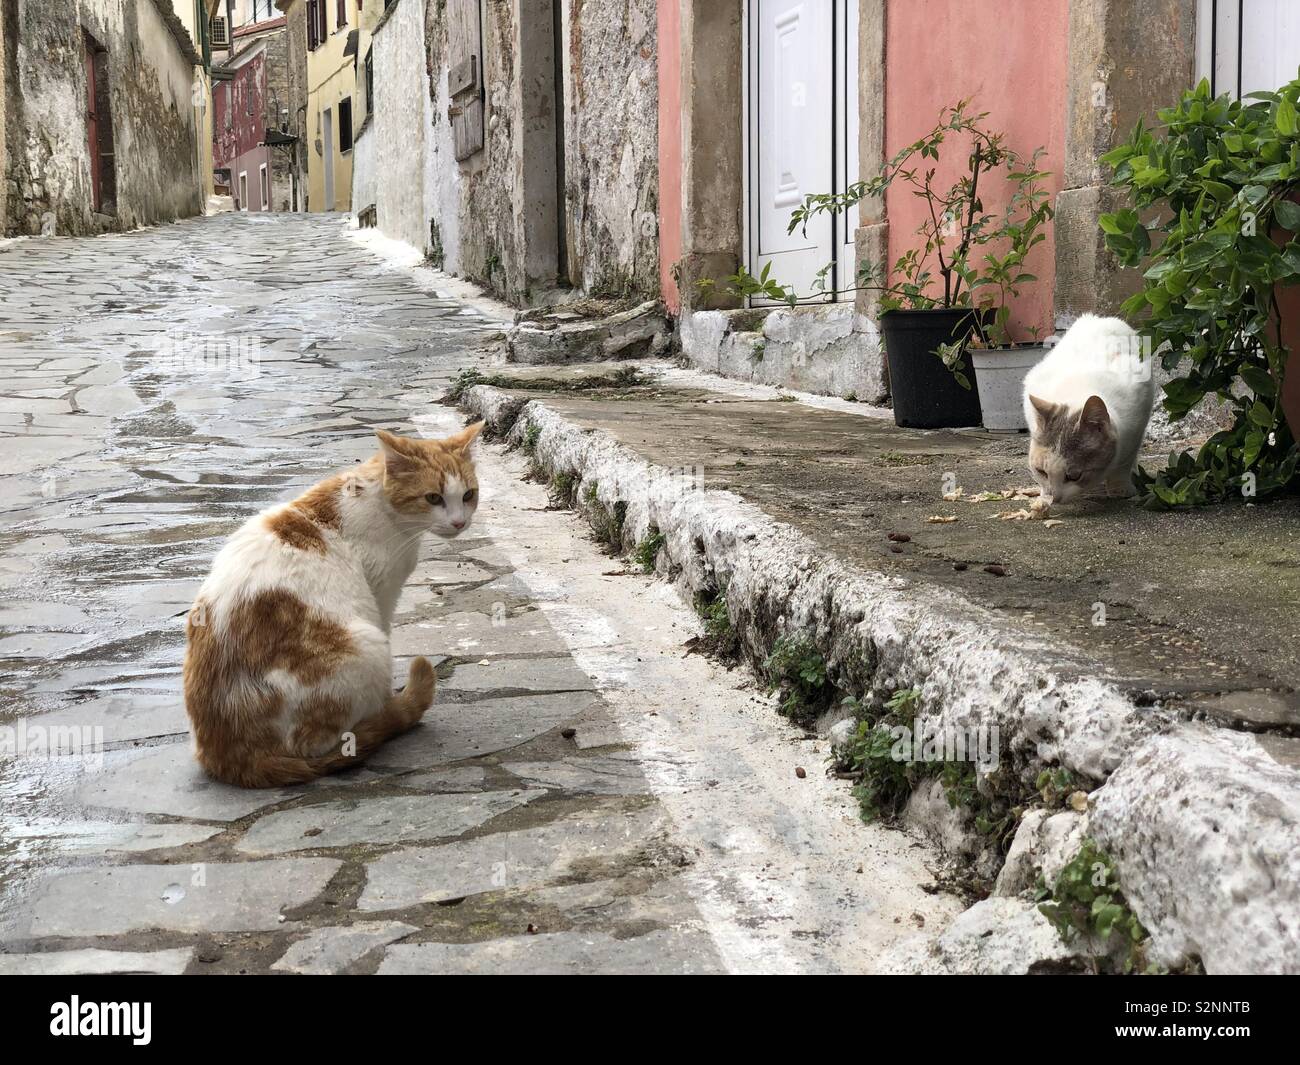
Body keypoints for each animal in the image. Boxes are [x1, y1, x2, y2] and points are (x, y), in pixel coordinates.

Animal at [183, 421, 483, 785]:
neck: (380, 501)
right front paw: (390, 702)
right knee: (320, 743)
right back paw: (378, 718)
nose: (459, 522)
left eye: (468, 495)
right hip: (366, 645)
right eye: (433, 498)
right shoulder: (381, 593)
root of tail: (231, 757)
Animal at [1019, 314, 1154, 507]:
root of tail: (1098, 318)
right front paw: (1043, 495)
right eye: (1042, 472)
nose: (1054, 498)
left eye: (1074, 476)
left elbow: (1124, 464)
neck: (1078, 389)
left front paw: (1120, 489)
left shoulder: (1137, 423)